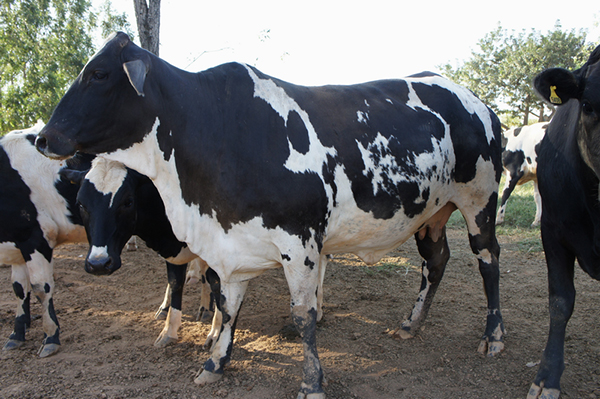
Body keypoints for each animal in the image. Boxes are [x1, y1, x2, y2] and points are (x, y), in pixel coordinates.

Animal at [0, 121, 91, 356]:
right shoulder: (16, 244)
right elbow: (19, 288)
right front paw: (16, 334)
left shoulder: (36, 238)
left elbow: (41, 287)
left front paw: (50, 336)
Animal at [35, 32, 506, 398]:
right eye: (82, 204)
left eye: (99, 74)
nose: (42, 137)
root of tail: (478, 102)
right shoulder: (229, 244)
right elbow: (227, 308)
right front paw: (214, 363)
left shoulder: (301, 243)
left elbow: (304, 315)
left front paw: (312, 382)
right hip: (432, 213)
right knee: (436, 262)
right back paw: (411, 324)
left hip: (479, 200)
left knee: (488, 260)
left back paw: (494, 335)